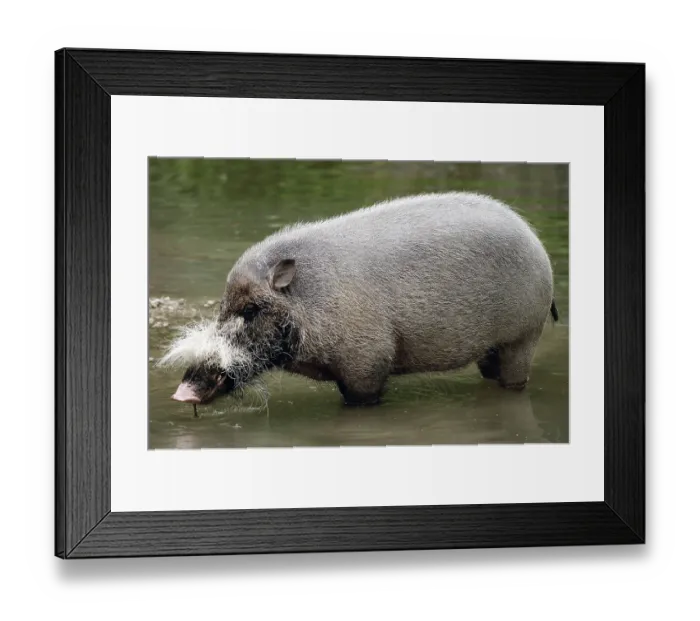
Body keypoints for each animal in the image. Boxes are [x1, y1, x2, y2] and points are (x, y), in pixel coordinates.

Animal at [160, 192, 559, 407]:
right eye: (223, 308)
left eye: (251, 310)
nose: (182, 393)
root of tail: (541, 249)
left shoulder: (367, 362)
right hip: (494, 347)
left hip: (524, 334)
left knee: (515, 379)